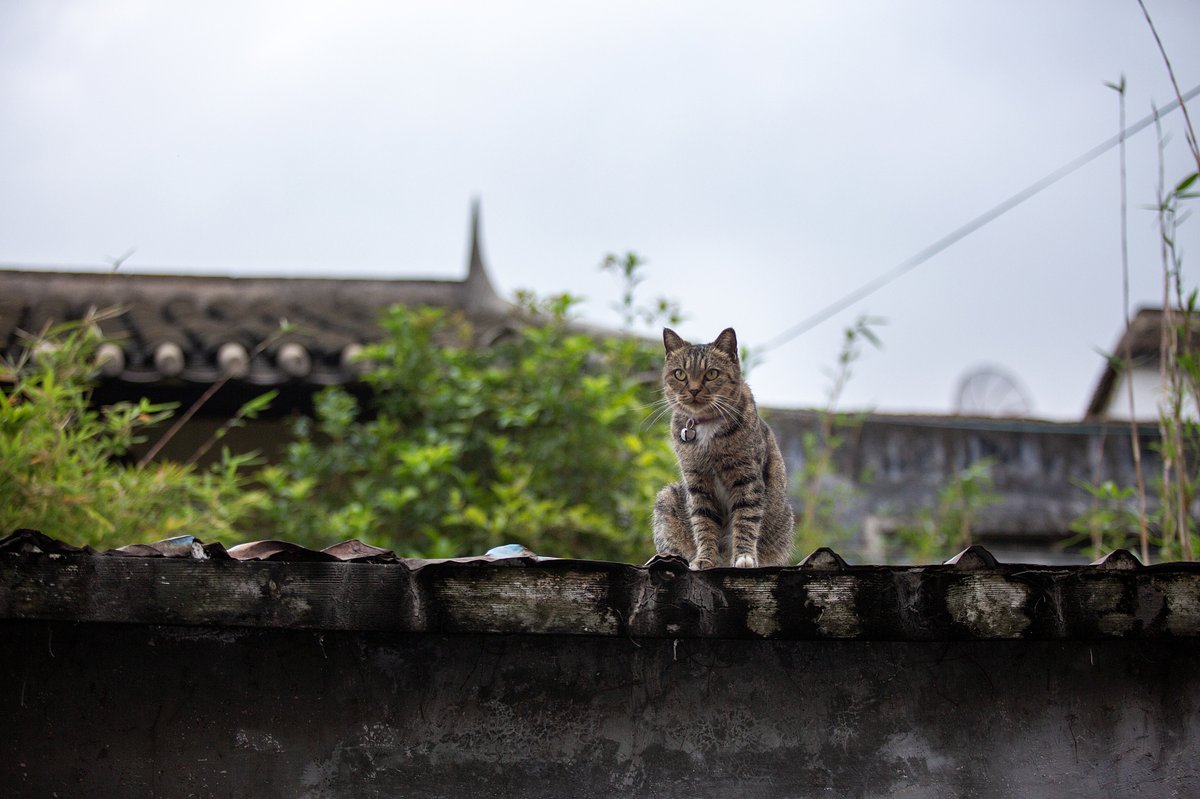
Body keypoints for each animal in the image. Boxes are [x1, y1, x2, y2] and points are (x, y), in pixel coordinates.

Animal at [652, 326, 792, 566]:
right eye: (680, 374)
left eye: (711, 374)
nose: (694, 390)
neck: (706, 425)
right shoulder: (697, 482)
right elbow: (704, 522)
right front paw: (705, 559)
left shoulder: (746, 477)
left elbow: (746, 518)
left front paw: (744, 556)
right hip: (667, 499)